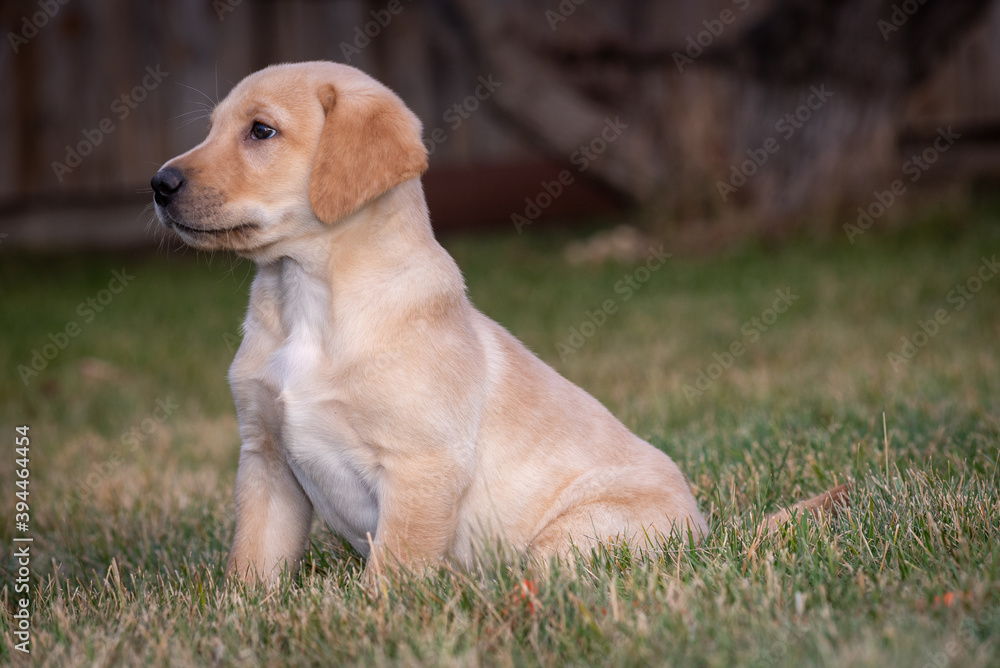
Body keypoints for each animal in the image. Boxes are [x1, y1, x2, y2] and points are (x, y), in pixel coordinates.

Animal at [152, 64, 708, 584]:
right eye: (211, 128)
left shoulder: (420, 465)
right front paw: (244, 605)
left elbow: (394, 567)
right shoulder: (265, 457)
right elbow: (252, 559)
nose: (158, 184)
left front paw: (376, 610)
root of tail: (702, 525)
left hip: (571, 538)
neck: (304, 298)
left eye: (261, 131)